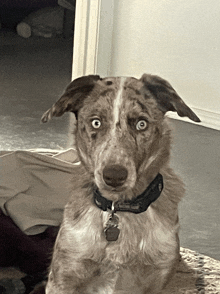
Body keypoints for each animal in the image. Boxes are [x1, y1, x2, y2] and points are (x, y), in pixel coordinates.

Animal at [40, 73, 201, 292]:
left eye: (141, 124)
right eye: (96, 123)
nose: (114, 175)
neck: (120, 209)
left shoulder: (158, 278)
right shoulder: (64, 276)